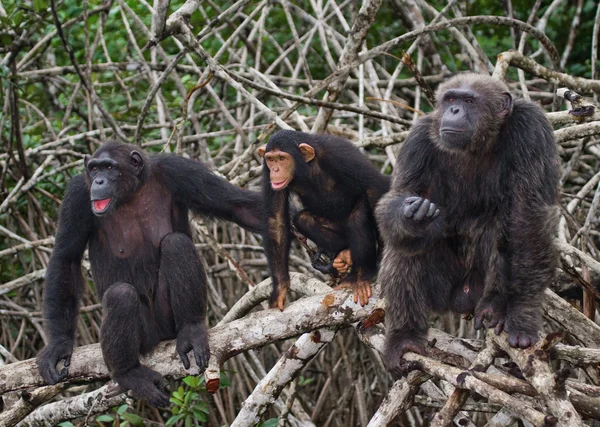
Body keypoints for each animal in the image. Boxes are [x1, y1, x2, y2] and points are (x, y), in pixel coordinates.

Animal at [37, 141, 262, 408]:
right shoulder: (77, 196)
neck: (131, 192)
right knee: (120, 295)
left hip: (168, 321)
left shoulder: (181, 171)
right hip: (145, 334)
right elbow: (67, 259)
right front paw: (59, 344)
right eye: (93, 168)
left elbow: (237, 206)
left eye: (109, 168)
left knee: (176, 244)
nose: (99, 180)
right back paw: (129, 373)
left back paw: (191, 330)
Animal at [258, 130, 392, 310]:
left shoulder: (341, 155)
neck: (306, 168)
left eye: (282, 158)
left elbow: (375, 187)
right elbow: (276, 219)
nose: (276, 169)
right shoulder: (267, 173)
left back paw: (360, 276)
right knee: (302, 219)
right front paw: (280, 289)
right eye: (271, 159)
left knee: (358, 213)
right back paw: (344, 253)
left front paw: (382, 259)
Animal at [378, 74, 560, 378]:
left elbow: (528, 218)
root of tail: (461, 299)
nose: (454, 110)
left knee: (503, 225)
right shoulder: (417, 141)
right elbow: (398, 194)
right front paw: (410, 214)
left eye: (469, 101)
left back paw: (494, 306)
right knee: (405, 246)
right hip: (441, 288)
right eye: (451, 98)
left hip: (475, 286)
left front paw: (522, 317)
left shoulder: (532, 129)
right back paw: (405, 338)